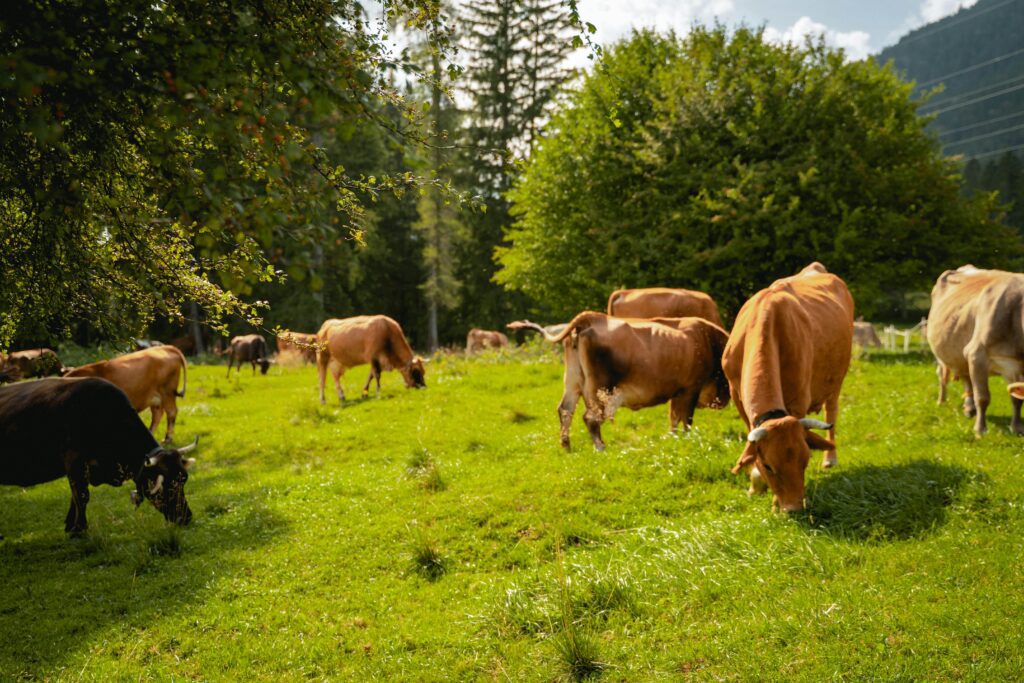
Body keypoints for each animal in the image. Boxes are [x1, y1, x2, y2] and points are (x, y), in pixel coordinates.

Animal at [0, 377, 196, 536]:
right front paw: (79, 530)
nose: (186, 517)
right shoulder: (74, 461)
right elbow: (81, 496)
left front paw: (71, 526)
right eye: (167, 488)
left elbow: (75, 496)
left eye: (183, 480)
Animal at [508, 312, 730, 450]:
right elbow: (686, 419)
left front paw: (674, 438)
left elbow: (674, 418)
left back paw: (566, 445)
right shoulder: (691, 388)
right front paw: (689, 439)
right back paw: (600, 447)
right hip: (600, 388)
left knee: (565, 410)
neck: (707, 339)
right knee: (590, 417)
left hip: (573, 382)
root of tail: (591, 317)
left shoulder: (677, 392)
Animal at [722, 263, 854, 512]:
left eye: (805, 461)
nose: (794, 508)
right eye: (769, 465)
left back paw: (830, 457)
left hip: (837, 378)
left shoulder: (798, 400)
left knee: (831, 412)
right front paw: (755, 483)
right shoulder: (736, 396)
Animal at [927, 265, 1024, 435]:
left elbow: (1016, 399)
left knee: (966, 379)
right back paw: (942, 401)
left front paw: (1017, 427)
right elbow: (983, 397)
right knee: (943, 375)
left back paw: (969, 408)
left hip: (960, 354)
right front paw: (980, 430)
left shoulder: (1014, 366)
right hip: (941, 354)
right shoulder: (977, 354)